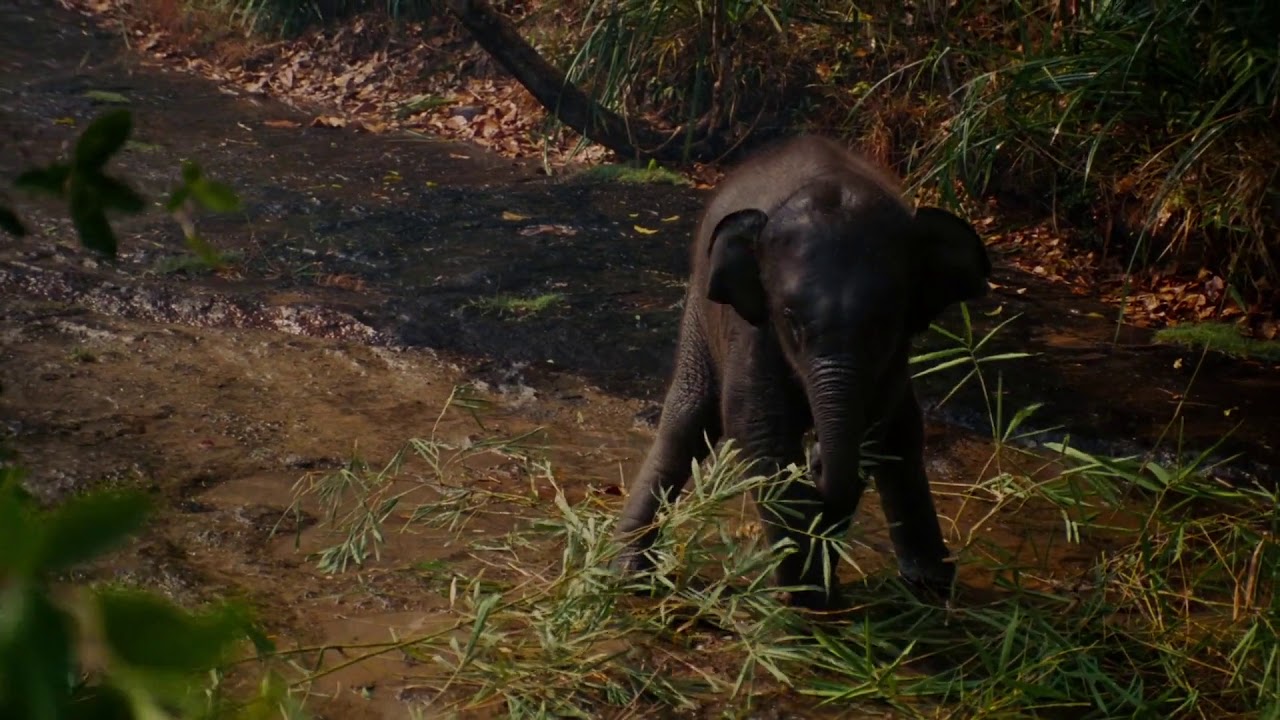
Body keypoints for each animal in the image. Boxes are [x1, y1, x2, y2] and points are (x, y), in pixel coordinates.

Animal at [611, 135, 992, 610]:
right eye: (790, 318)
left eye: (886, 321)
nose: (816, 459)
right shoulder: (754, 329)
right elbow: (761, 431)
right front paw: (804, 594)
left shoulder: (894, 354)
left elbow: (871, 434)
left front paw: (816, 580)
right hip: (700, 309)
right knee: (686, 419)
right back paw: (628, 574)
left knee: (903, 435)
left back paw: (930, 583)